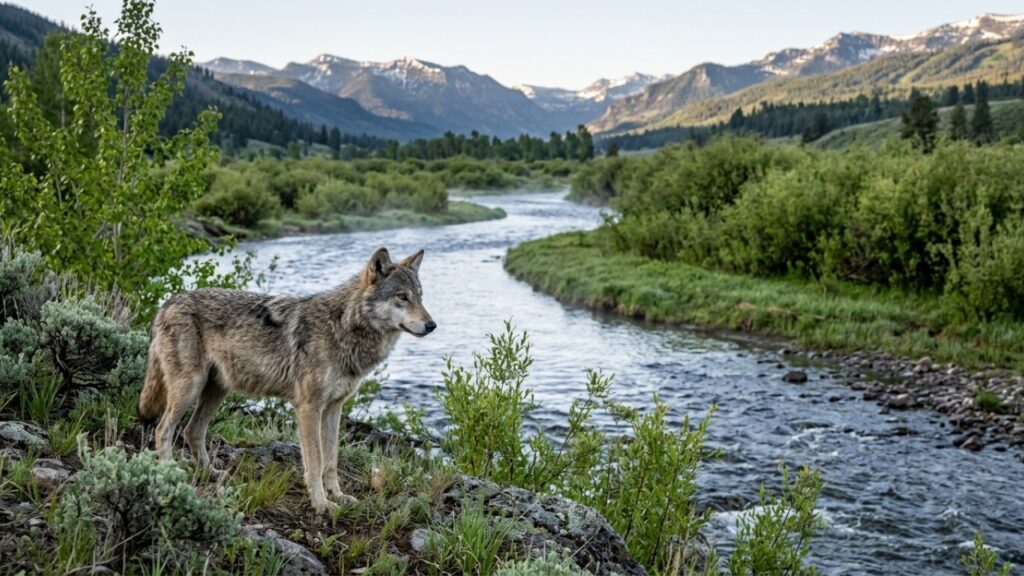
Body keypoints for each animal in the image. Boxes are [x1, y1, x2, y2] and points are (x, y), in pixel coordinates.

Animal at [137, 247, 435, 512]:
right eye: (402, 297)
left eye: (420, 297)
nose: (432, 325)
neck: (343, 327)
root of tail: (166, 305)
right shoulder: (308, 408)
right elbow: (315, 461)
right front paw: (320, 503)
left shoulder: (334, 408)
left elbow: (331, 460)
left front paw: (338, 496)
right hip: (189, 389)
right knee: (163, 430)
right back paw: (170, 473)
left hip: (216, 392)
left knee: (192, 431)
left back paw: (212, 474)